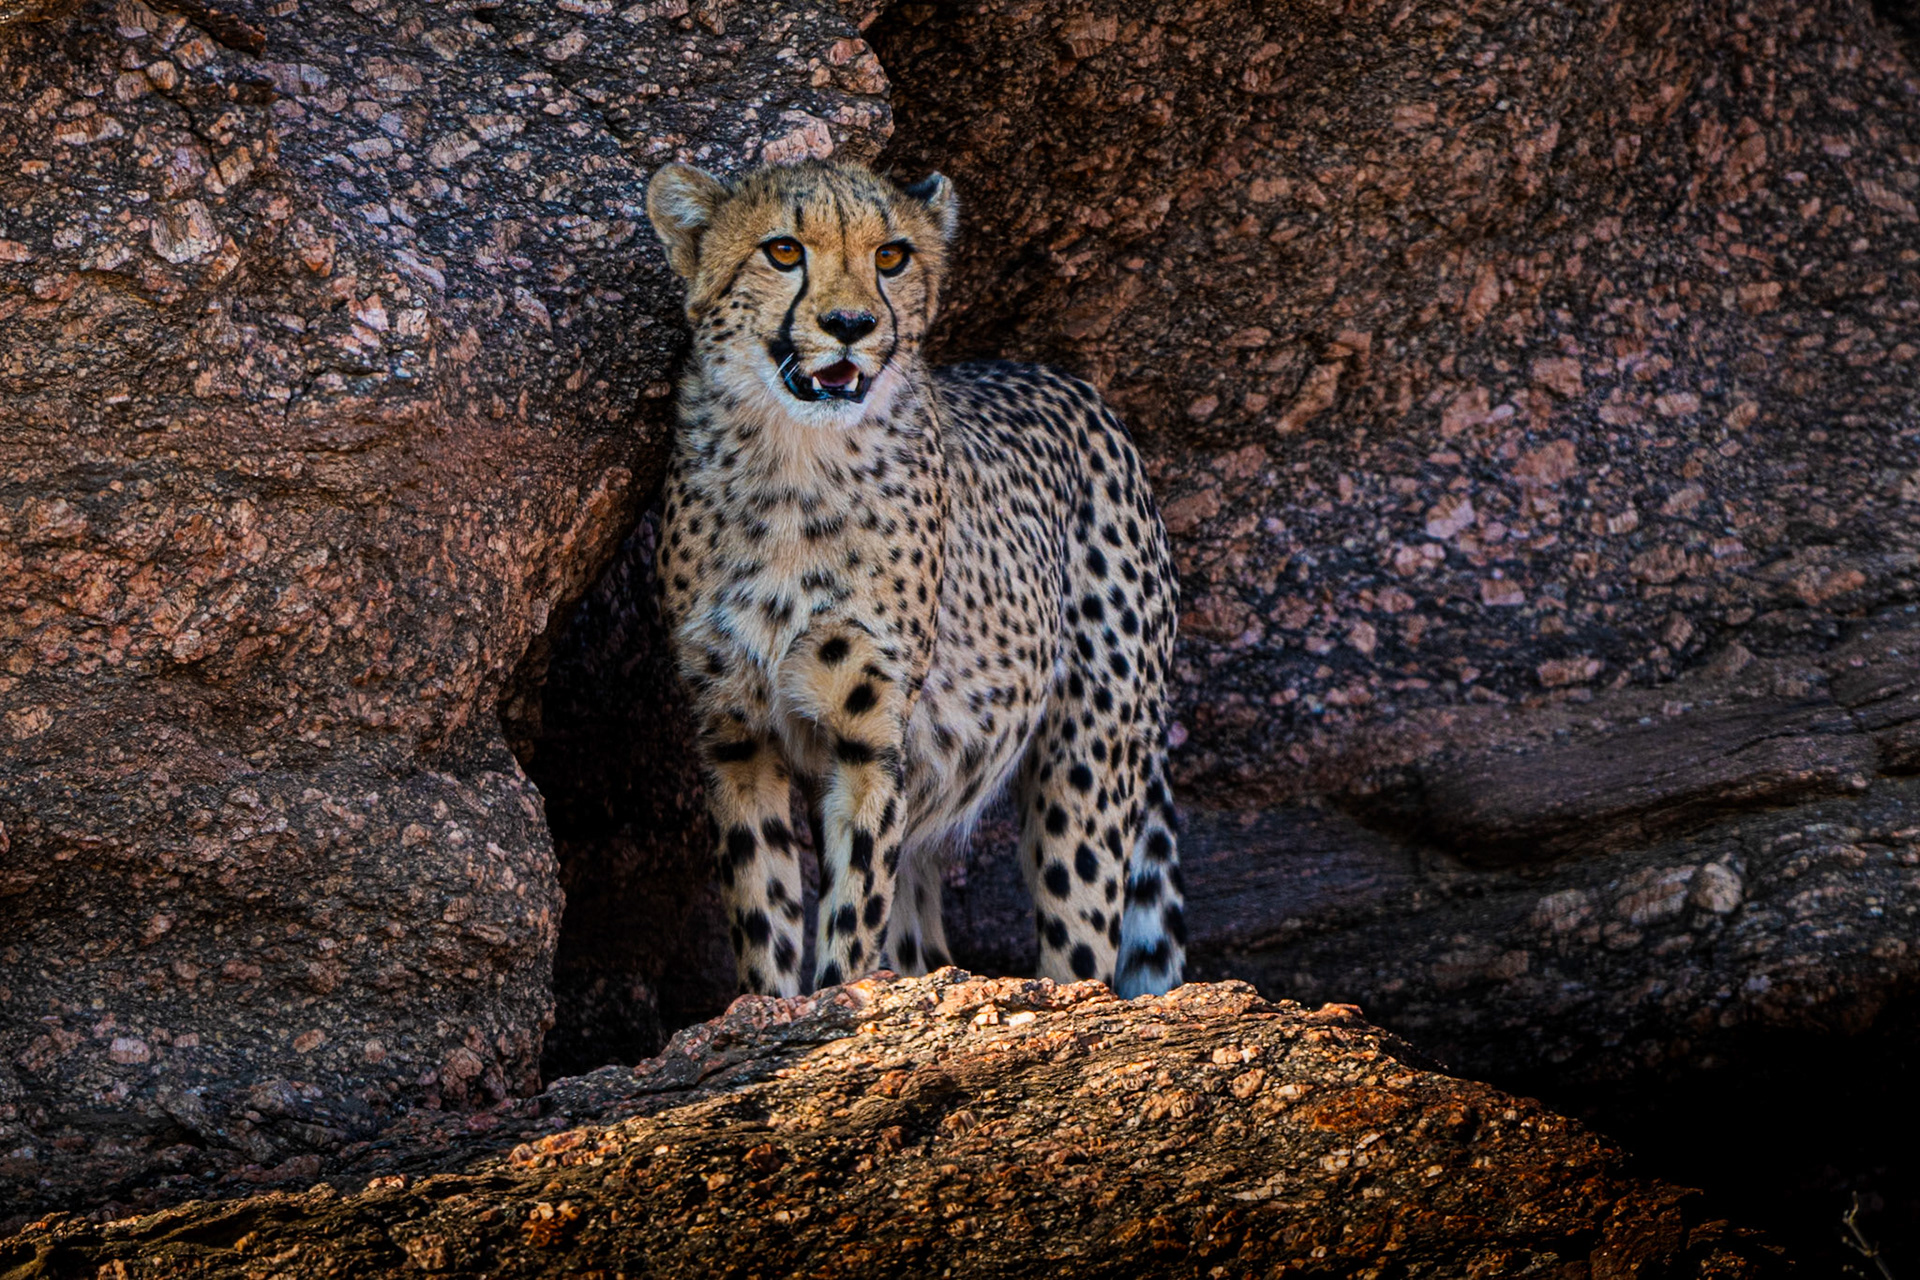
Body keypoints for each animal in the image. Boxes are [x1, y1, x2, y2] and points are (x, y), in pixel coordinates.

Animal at [645, 158, 1184, 1001]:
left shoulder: (871, 735)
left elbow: (853, 909)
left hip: (1090, 755)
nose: (851, 324)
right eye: (783, 250)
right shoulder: (736, 733)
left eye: (891, 256)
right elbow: (764, 916)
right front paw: (770, 1010)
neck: (794, 466)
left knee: (1081, 938)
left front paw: (836, 1001)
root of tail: (1065, 380)